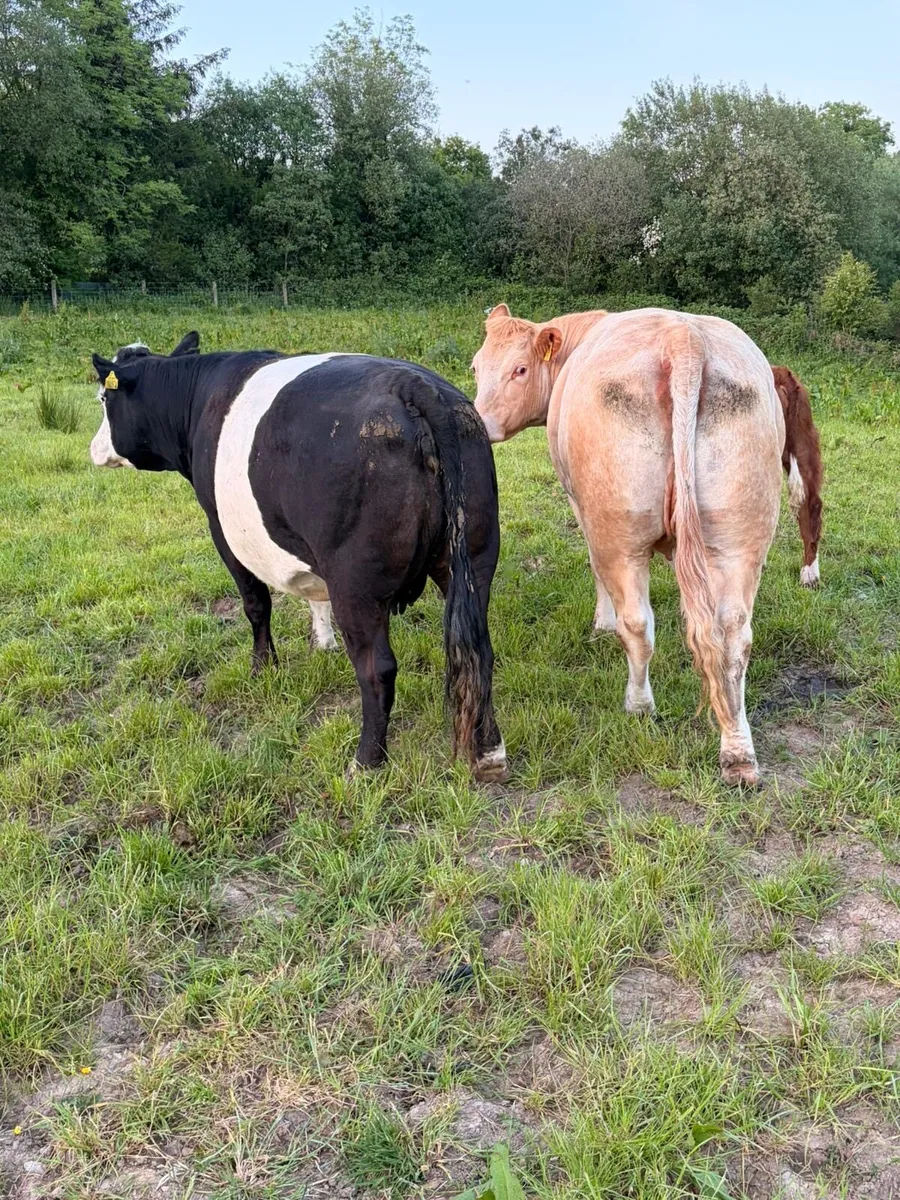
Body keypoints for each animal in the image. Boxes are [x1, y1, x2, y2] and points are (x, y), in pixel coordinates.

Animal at [89, 333, 508, 782]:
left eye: (103, 399)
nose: (94, 448)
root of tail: (414, 385)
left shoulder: (222, 528)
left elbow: (255, 605)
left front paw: (262, 669)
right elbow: (314, 598)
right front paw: (322, 642)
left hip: (355, 582)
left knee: (377, 668)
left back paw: (365, 762)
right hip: (473, 559)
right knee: (478, 649)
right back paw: (490, 751)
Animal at [472, 304, 785, 787]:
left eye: (519, 369)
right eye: (475, 367)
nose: (478, 422)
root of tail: (683, 337)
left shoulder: (581, 506)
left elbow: (595, 569)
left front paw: (602, 623)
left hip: (619, 532)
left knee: (637, 624)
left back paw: (639, 705)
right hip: (741, 535)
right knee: (734, 636)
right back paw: (738, 750)